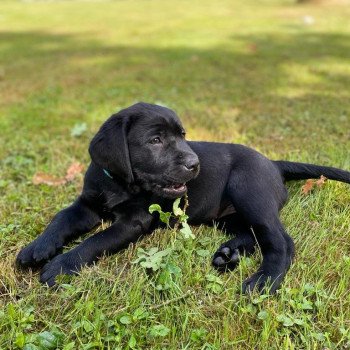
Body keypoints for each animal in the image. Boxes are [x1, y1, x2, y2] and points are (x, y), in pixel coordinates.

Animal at [17, 102, 350, 294]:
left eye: (182, 136)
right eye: (155, 140)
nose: (195, 164)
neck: (120, 185)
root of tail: (273, 163)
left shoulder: (132, 222)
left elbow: (94, 242)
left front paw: (61, 265)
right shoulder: (87, 205)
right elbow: (62, 217)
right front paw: (38, 248)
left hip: (248, 191)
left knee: (281, 240)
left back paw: (263, 281)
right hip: (226, 217)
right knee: (252, 233)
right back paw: (229, 253)